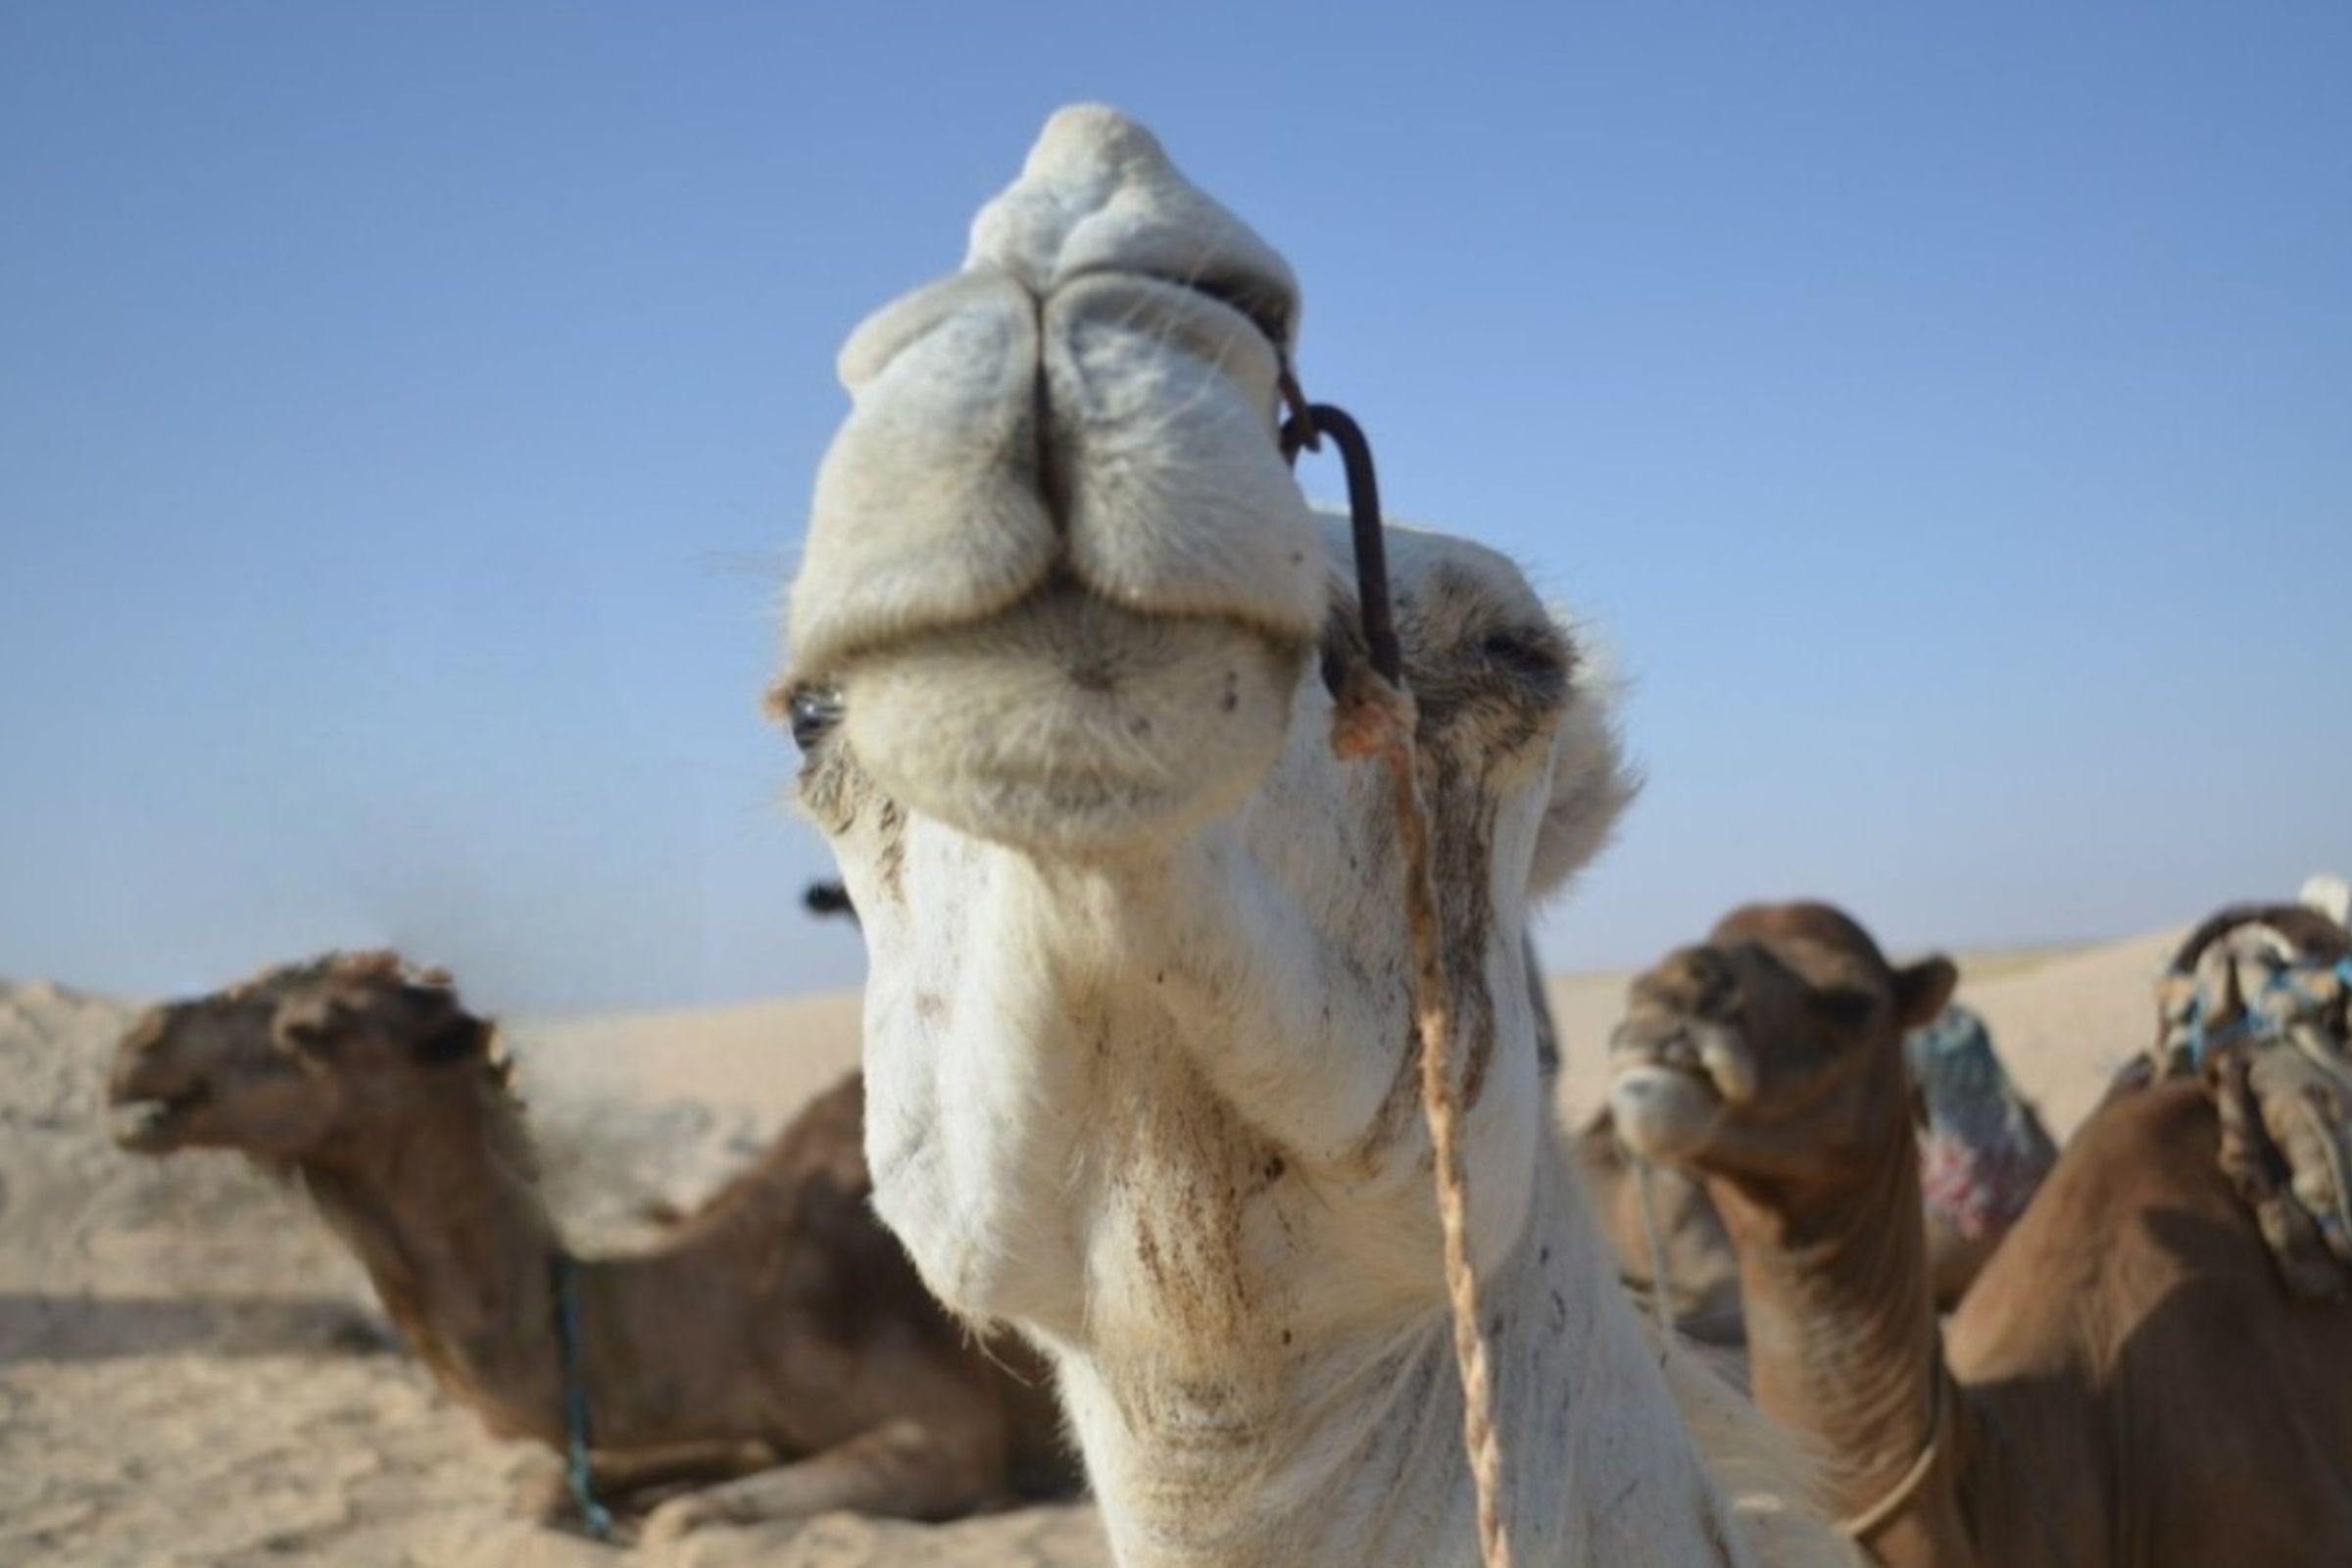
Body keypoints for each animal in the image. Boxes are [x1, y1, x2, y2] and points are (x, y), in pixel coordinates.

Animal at [105, 951, 1079, 1544]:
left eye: (316, 1030)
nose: (137, 1044)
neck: (736, 1299)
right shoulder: (738, 1418)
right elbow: (547, 1486)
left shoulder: (949, 1429)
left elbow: (684, 1523)